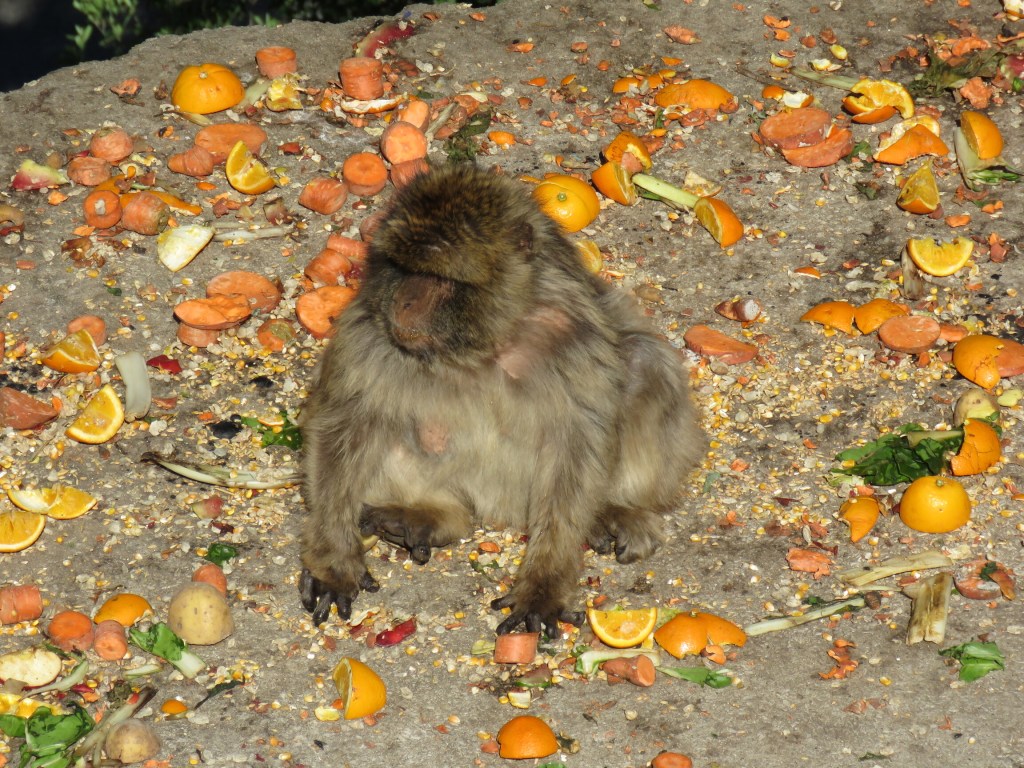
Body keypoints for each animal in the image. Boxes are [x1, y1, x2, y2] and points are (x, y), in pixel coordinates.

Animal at [298, 163, 705, 636]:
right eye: (400, 267)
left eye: (439, 277)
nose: (403, 303)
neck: (482, 345)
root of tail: (498, 508)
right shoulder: (368, 331)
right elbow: (345, 424)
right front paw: (333, 560)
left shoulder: (573, 337)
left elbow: (577, 441)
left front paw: (544, 582)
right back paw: (430, 515)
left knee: (646, 358)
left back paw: (612, 510)